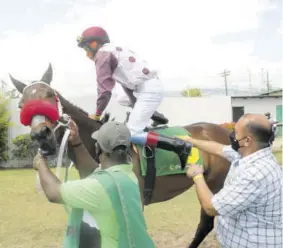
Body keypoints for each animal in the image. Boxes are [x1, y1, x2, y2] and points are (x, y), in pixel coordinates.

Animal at [10, 63, 233, 247]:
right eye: (21, 105)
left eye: (50, 95)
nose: (42, 135)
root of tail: (224, 131)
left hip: (215, 184)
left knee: (206, 222)